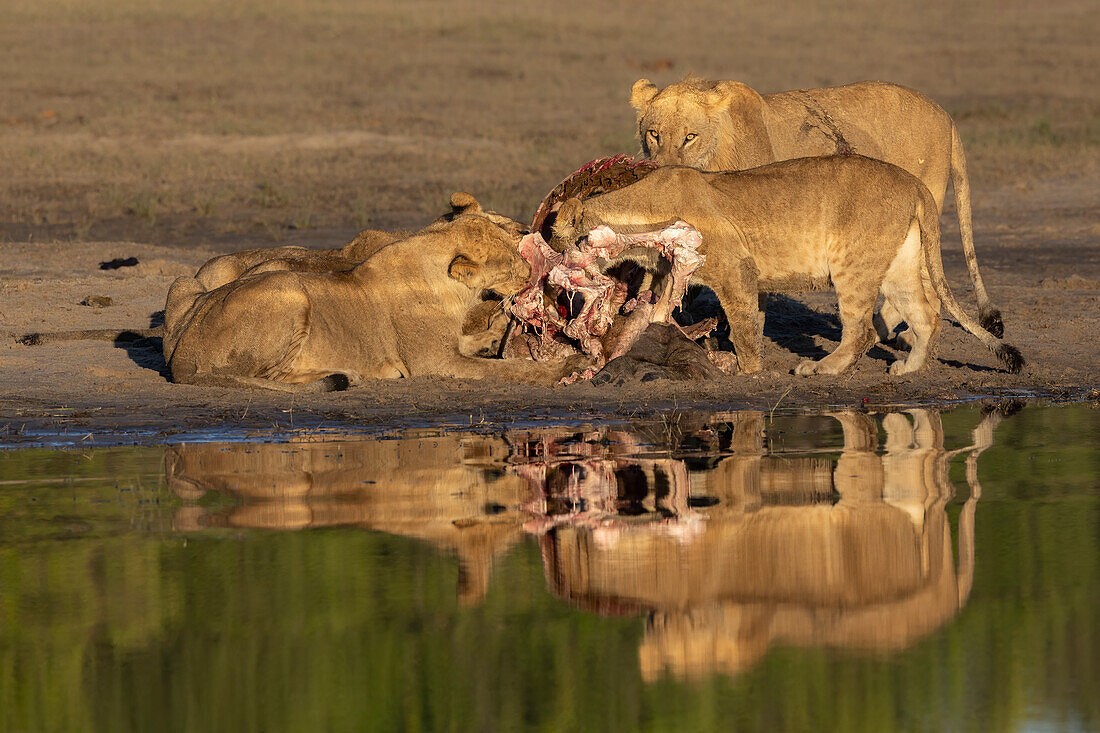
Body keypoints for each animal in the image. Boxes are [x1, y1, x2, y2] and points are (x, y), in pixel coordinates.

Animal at [160, 208, 585, 391]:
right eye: (509, 260)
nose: (531, 272)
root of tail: (182, 354)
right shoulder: (435, 363)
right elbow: (508, 370)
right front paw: (566, 366)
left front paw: (495, 334)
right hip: (290, 291)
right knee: (265, 376)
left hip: (183, 285)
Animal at [554, 151, 1025, 374]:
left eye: (554, 232)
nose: (553, 259)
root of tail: (912, 181)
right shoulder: (676, 273)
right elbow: (659, 314)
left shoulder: (735, 268)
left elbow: (744, 326)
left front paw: (748, 372)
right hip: (898, 264)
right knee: (927, 314)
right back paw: (908, 369)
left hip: (852, 264)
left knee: (863, 330)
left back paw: (821, 369)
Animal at [629, 75, 1007, 338]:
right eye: (654, 134)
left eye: (689, 137)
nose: (662, 173)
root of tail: (946, 115)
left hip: (923, 203)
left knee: (928, 281)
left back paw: (890, 334)